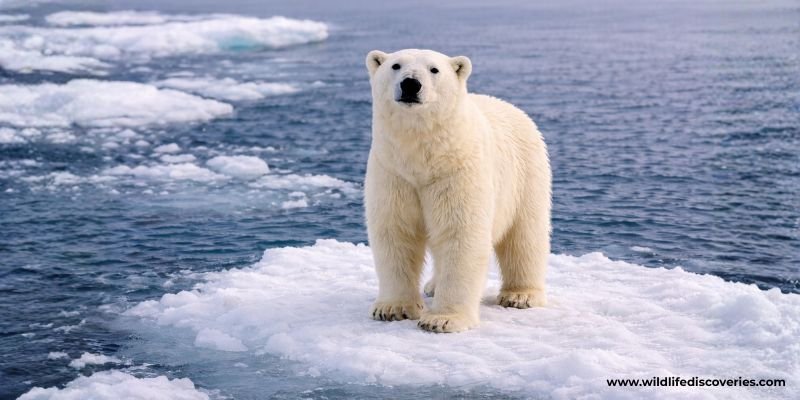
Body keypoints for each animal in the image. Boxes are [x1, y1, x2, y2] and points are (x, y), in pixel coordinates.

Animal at [364, 49, 551, 333]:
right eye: (395, 65)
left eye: (434, 69)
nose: (411, 84)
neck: (423, 156)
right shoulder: (393, 172)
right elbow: (395, 232)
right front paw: (391, 309)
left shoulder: (457, 171)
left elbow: (460, 233)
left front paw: (443, 319)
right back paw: (432, 286)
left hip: (525, 175)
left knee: (525, 235)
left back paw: (521, 295)